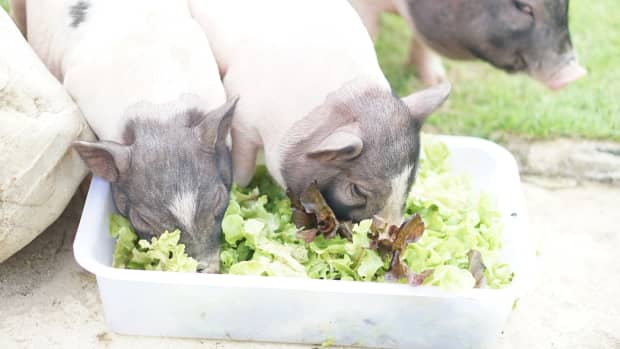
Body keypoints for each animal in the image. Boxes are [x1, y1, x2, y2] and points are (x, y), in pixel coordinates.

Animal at [189, 0, 450, 223]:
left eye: (410, 181)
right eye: (357, 189)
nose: (389, 233)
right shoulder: (243, 120)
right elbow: (243, 168)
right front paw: (244, 190)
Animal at [348, 0, 588, 89]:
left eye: (566, 3)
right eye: (523, 7)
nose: (576, 73)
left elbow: (422, 42)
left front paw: (437, 82)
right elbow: (366, 31)